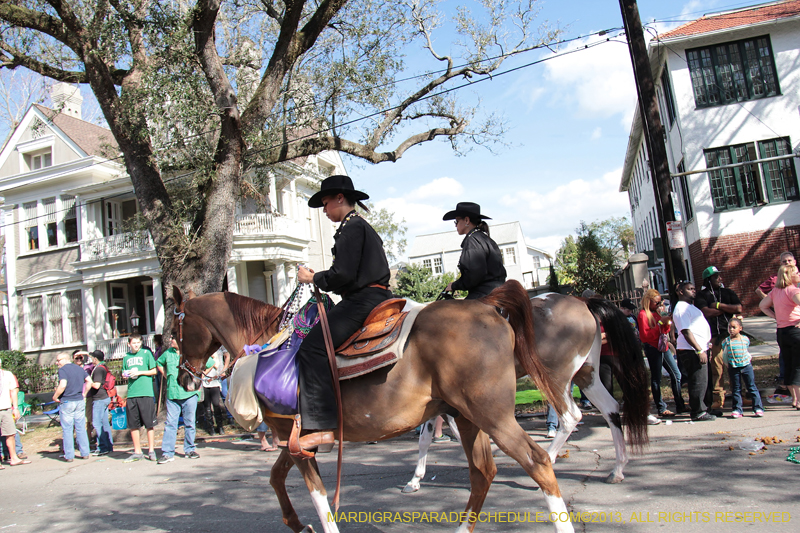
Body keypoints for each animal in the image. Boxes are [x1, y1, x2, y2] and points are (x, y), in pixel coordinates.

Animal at [404, 294, 652, 492]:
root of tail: (581, 301)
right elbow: (426, 438)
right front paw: (416, 479)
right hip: (586, 375)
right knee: (610, 409)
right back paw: (618, 469)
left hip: (555, 379)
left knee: (571, 417)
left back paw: (547, 462)